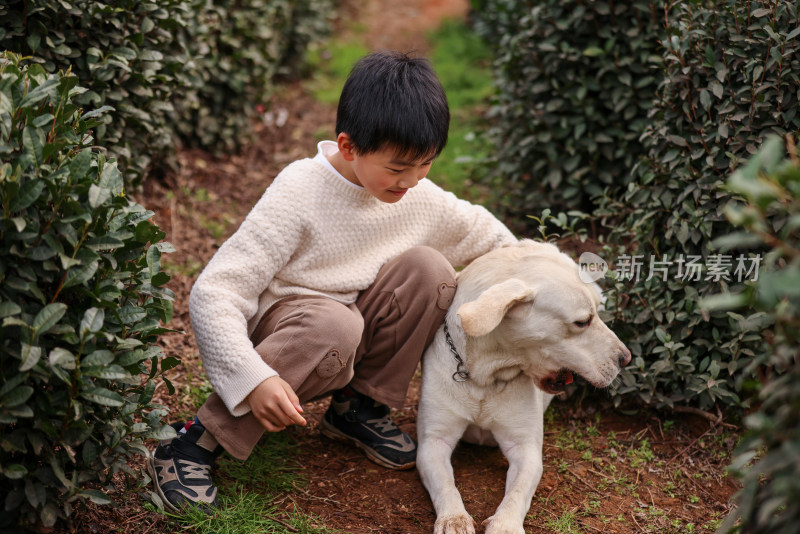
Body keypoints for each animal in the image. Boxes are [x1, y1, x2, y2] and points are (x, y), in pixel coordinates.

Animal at [416, 241, 628, 532]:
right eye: (582, 321)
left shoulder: (525, 449)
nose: (626, 358)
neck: (485, 377)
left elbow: (516, 494)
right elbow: (446, 487)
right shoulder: (433, 442)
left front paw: (504, 525)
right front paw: (453, 518)